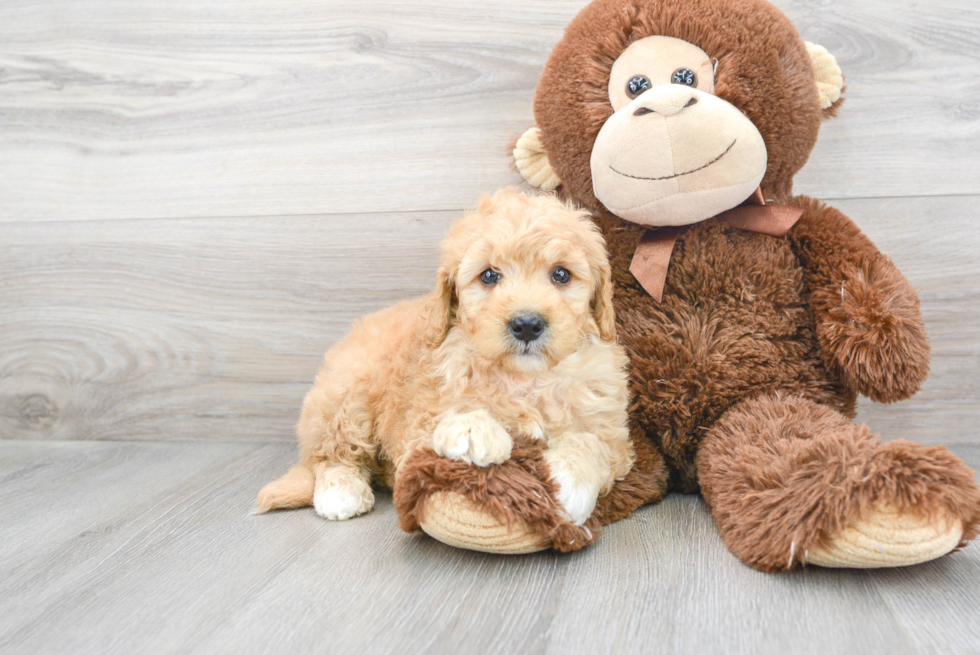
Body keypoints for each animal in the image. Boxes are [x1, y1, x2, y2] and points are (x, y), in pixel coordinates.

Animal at [256, 187, 632, 524]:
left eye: (561, 274)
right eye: (489, 276)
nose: (527, 324)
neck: (525, 377)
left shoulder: (611, 431)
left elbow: (591, 443)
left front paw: (567, 484)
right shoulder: (416, 426)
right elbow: (450, 418)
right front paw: (473, 430)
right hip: (346, 390)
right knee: (332, 453)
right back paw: (341, 491)